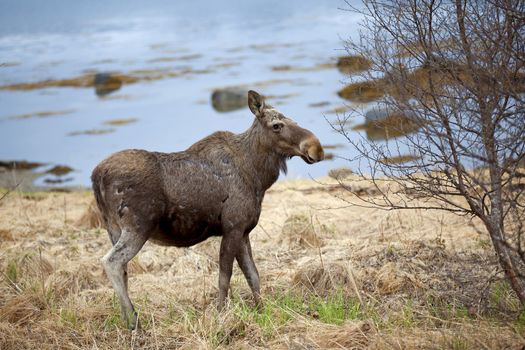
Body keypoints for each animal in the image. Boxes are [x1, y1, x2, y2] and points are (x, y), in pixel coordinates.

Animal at [93, 89, 324, 328]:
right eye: (276, 125)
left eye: (293, 120)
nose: (316, 147)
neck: (258, 176)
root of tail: (96, 176)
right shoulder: (232, 227)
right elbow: (225, 277)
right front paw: (221, 314)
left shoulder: (244, 231)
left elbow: (253, 275)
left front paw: (262, 311)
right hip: (139, 226)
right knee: (111, 262)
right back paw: (133, 321)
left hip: (113, 228)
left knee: (123, 269)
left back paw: (124, 318)